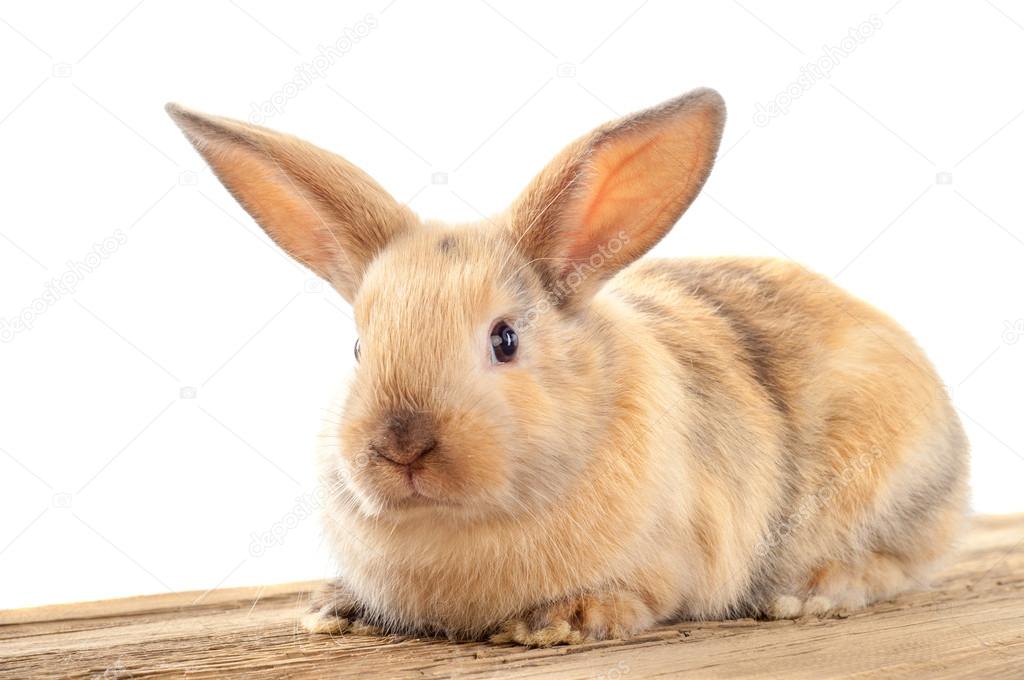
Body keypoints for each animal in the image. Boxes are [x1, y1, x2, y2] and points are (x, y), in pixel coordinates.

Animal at [166, 87, 969, 647]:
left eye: (505, 340)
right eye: (359, 346)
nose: (401, 445)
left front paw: (560, 620)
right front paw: (334, 606)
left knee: (896, 564)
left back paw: (810, 593)